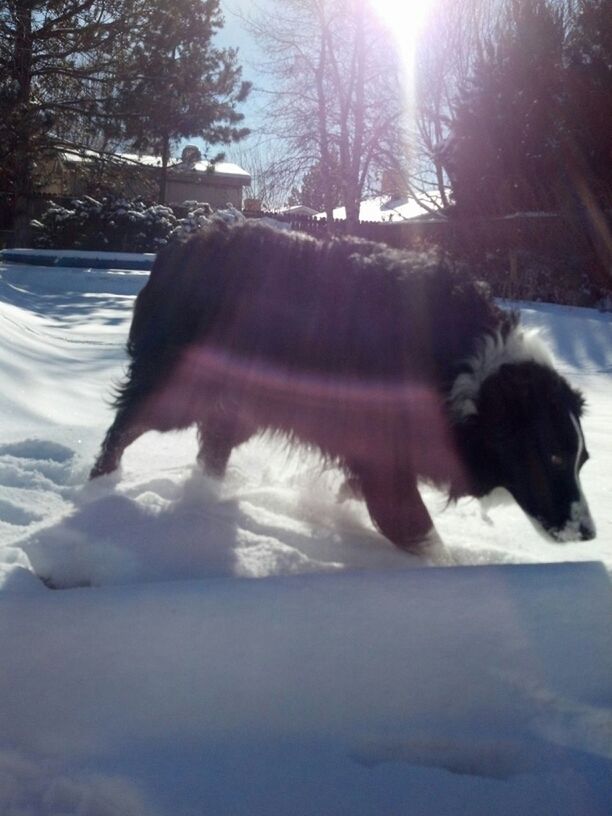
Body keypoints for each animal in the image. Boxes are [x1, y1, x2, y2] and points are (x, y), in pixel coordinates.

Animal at [89, 220, 592, 552]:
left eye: (583, 460)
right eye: (552, 456)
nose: (589, 533)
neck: (466, 366)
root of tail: (180, 244)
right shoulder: (385, 457)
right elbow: (419, 531)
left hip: (243, 401)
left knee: (211, 448)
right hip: (184, 390)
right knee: (123, 427)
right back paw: (99, 491)